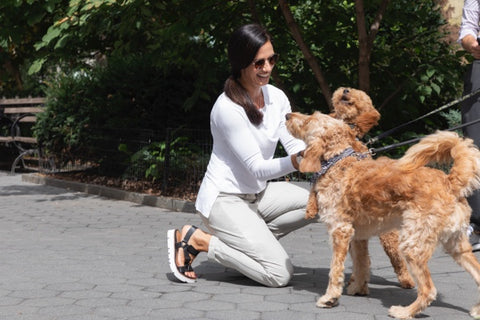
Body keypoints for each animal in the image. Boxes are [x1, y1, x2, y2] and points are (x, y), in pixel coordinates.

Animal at [284, 110, 480, 320]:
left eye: (309, 119)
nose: (287, 115)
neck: (338, 161)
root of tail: (450, 182)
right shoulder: (358, 237)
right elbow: (361, 264)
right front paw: (358, 288)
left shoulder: (340, 231)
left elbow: (335, 269)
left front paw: (330, 298)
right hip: (457, 246)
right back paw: (477, 309)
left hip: (412, 246)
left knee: (428, 290)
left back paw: (404, 311)